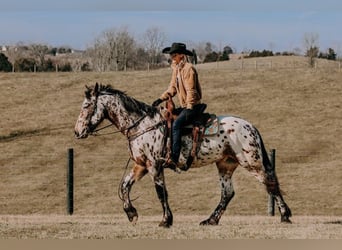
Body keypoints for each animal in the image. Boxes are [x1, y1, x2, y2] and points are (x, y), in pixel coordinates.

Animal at [74, 82, 292, 227]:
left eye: (86, 106)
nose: (77, 132)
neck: (142, 125)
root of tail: (250, 126)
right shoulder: (141, 165)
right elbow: (125, 186)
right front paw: (131, 213)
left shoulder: (154, 165)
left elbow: (161, 192)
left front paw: (165, 220)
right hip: (225, 165)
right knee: (227, 193)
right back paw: (210, 220)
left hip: (251, 162)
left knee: (270, 183)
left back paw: (285, 215)